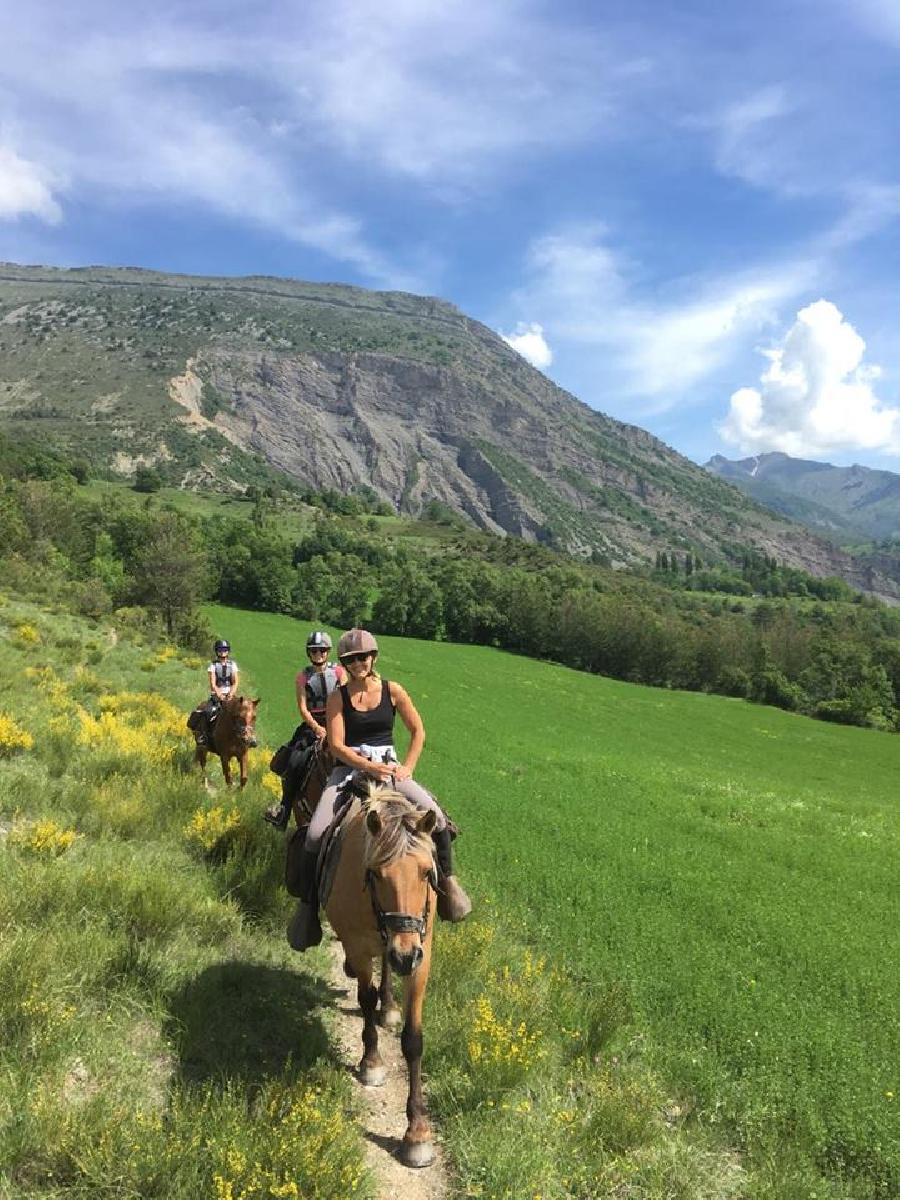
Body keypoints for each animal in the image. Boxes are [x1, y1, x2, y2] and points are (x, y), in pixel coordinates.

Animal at [328, 792, 441, 1166]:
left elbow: (413, 1039)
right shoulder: (359, 946)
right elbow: (365, 999)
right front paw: (371, 1062)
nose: (404, 953)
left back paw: (389, 1005)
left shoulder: (422, 956)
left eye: (426, 873)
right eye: (376, 874)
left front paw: (417, 1132)